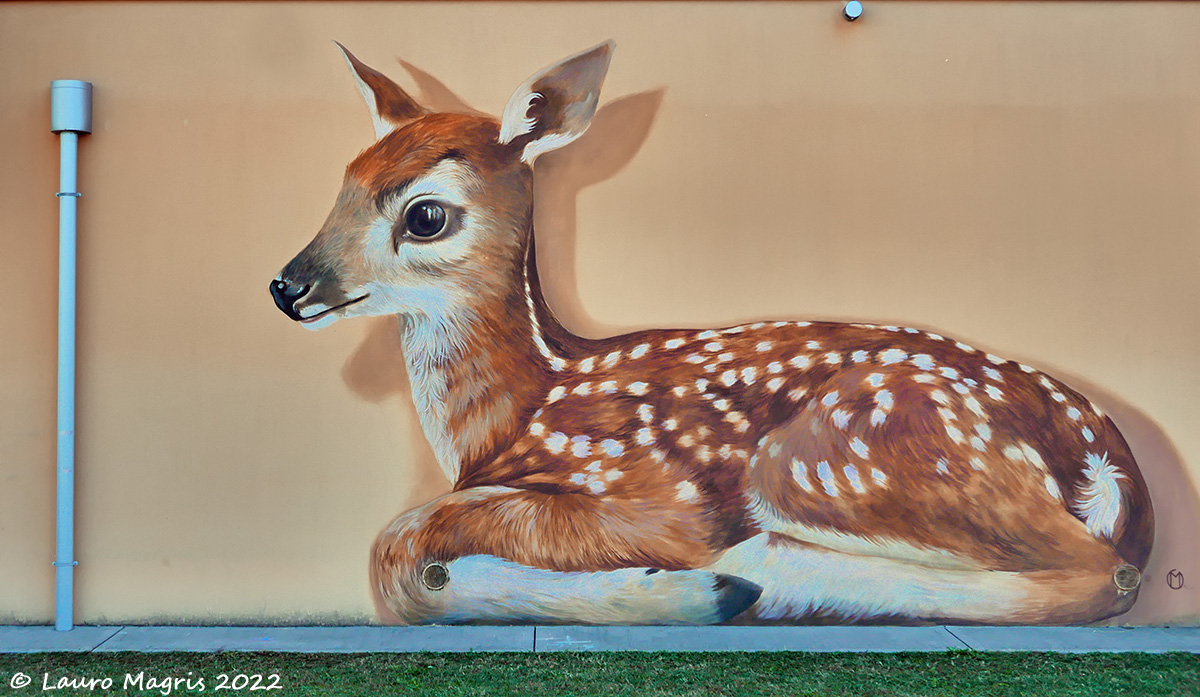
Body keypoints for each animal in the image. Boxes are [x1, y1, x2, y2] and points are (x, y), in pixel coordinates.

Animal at [270, 41, 1154, 625]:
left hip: (835, 451)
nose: (287, 285)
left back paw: (756, 579)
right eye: (343, 183)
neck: (522, 404)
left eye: (425, 215)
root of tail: (1106, 458)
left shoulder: (660, 496)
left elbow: (400, 545)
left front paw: (688, 584)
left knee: (1099, 576)